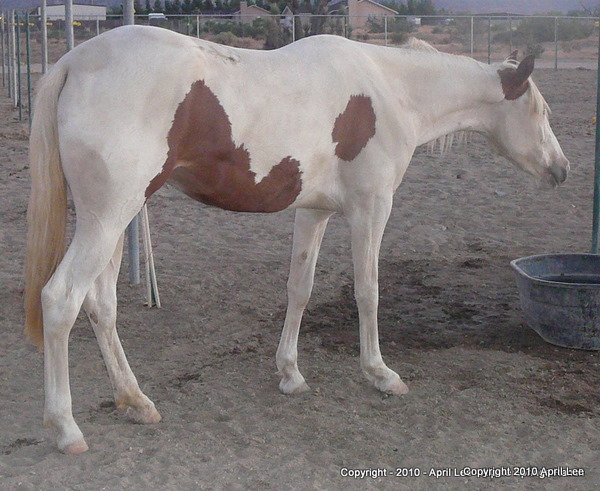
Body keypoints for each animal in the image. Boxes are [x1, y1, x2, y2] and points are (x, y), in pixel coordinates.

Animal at [23, 24, 568, 454]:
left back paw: (134, 400)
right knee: (62, 299)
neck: (391, 88)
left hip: (116, 219)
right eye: (540, 111)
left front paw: (290, 373)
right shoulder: (371, 209)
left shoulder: (314, 212)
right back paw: (66, 428)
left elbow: (299, 289)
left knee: (101, 304)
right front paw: (380, 373)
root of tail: (73, 62)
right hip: (108, 218)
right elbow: (368, 292)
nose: (561, 170)